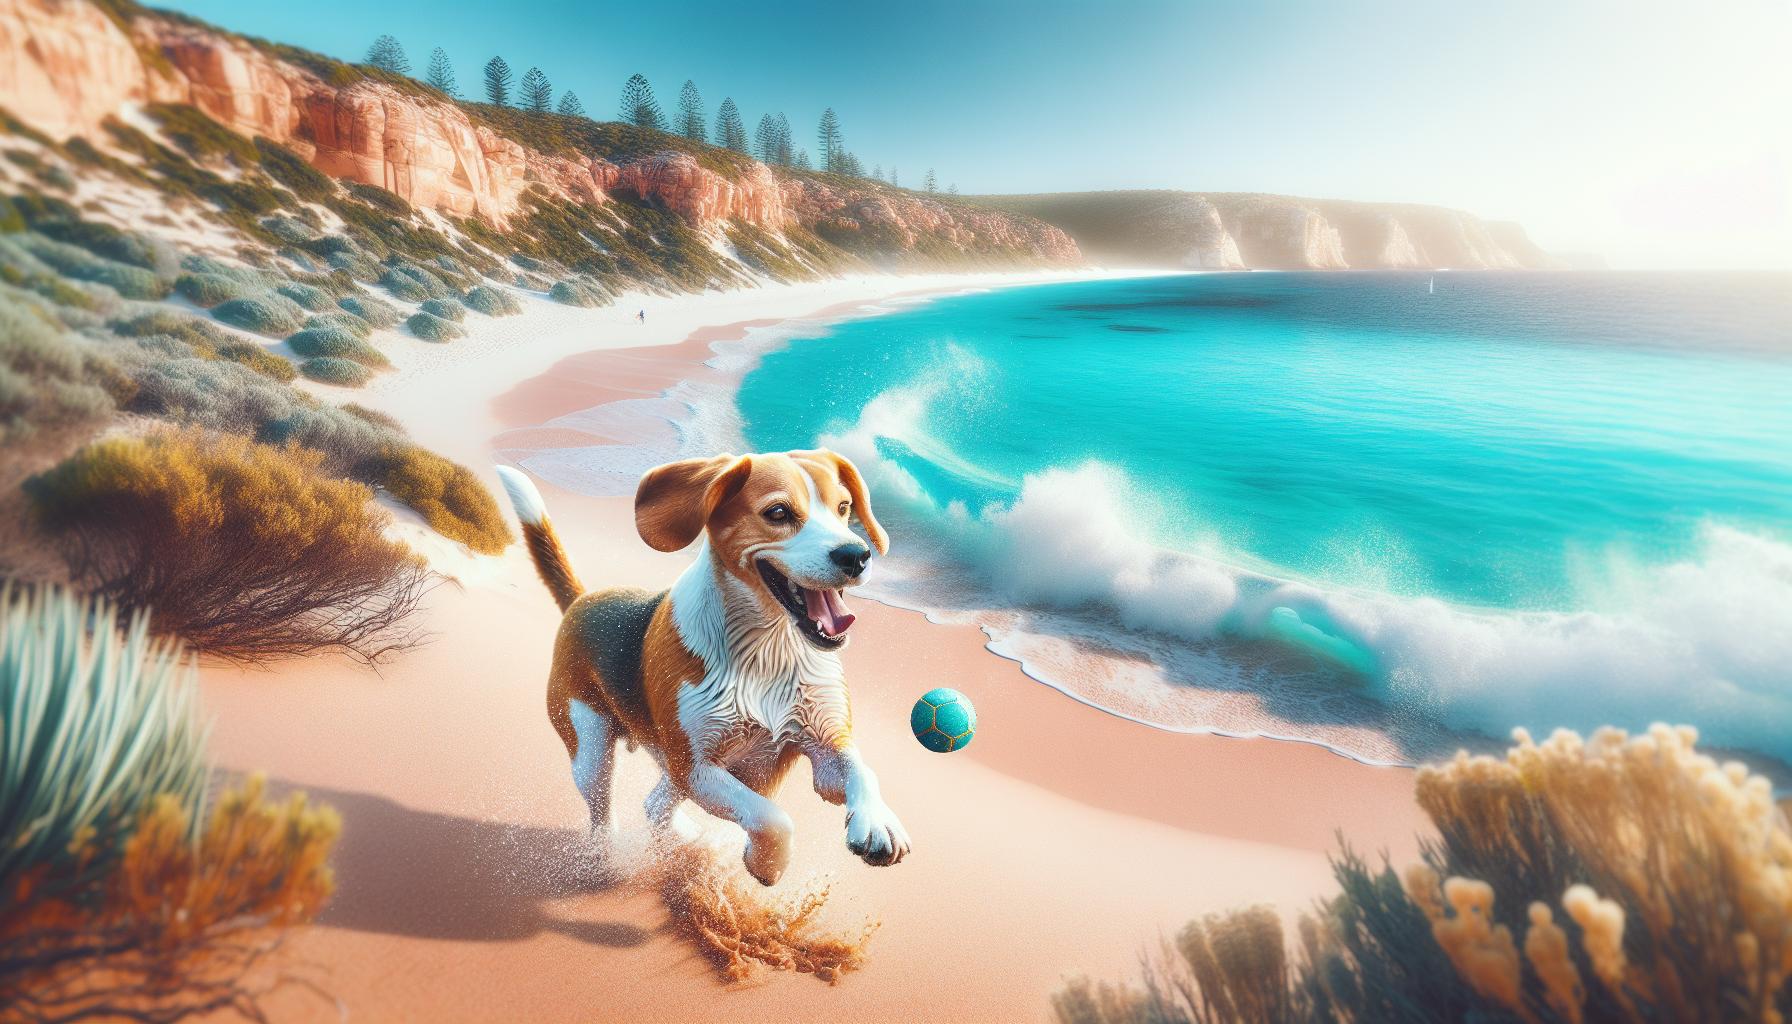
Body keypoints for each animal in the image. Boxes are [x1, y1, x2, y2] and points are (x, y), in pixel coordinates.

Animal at [491, 451, 910, 885]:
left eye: (844, 508)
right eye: (778, 513)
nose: (856, 555)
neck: (769, 650)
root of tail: (583, 598)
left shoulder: (825, 746)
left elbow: (862, 770)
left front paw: (877, 824)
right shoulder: (695, 767)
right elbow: (771, 818)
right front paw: (767, 865)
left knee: (655, 803)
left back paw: (685, 837)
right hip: (590, 750)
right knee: (603, 809)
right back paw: (608, 858)